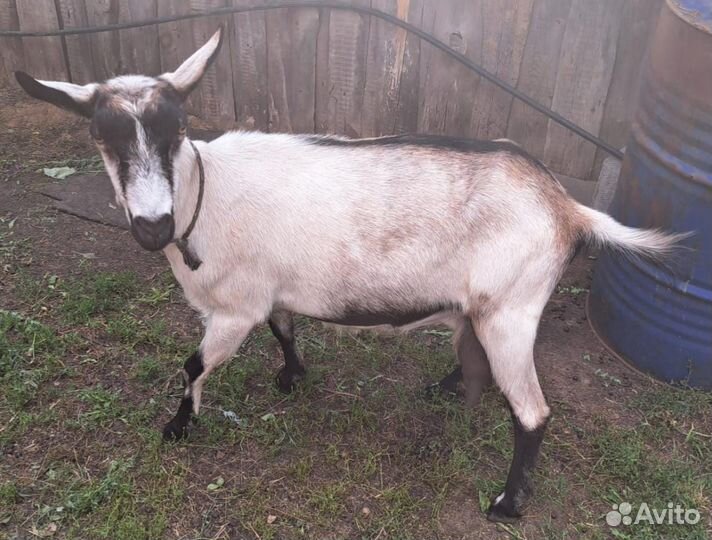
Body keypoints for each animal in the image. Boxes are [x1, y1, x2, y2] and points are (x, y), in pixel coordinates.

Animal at [15, 28, 684, 523]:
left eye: (177, 130)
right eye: (101, 135)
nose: (152, 226)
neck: (205, 196)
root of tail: (566, 206)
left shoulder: (234, 308)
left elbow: (193, 365)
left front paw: (178, 427)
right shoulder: (272, 290)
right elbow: (284, 329)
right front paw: (292, 377)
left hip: (513, 310)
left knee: (533, 412)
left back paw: (507, 503)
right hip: (486, 308)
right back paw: (447, 389)